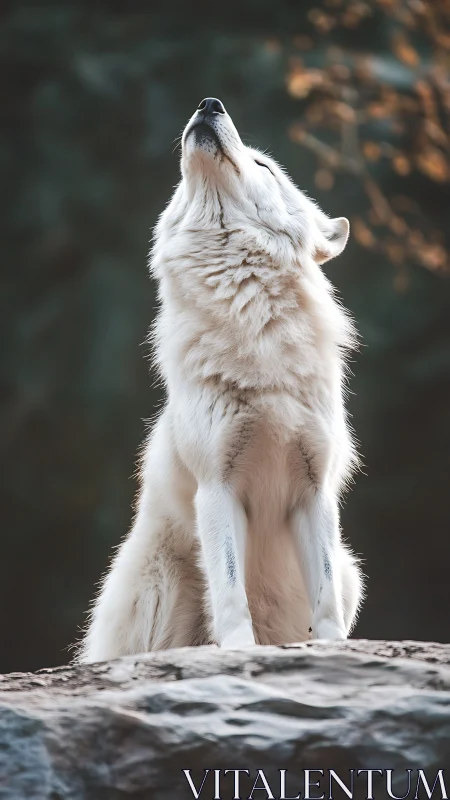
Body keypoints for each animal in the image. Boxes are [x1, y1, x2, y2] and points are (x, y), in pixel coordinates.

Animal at [78, 97, 363, 663]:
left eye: (264, 166)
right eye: (180, 183)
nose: (209, 105)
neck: (254, 333)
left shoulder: (314, 491)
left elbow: (323, 601)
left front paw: (333, 650)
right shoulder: (217, 489)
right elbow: (231, 594)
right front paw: (237, 650)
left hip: (351, 572)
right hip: (162, 589)